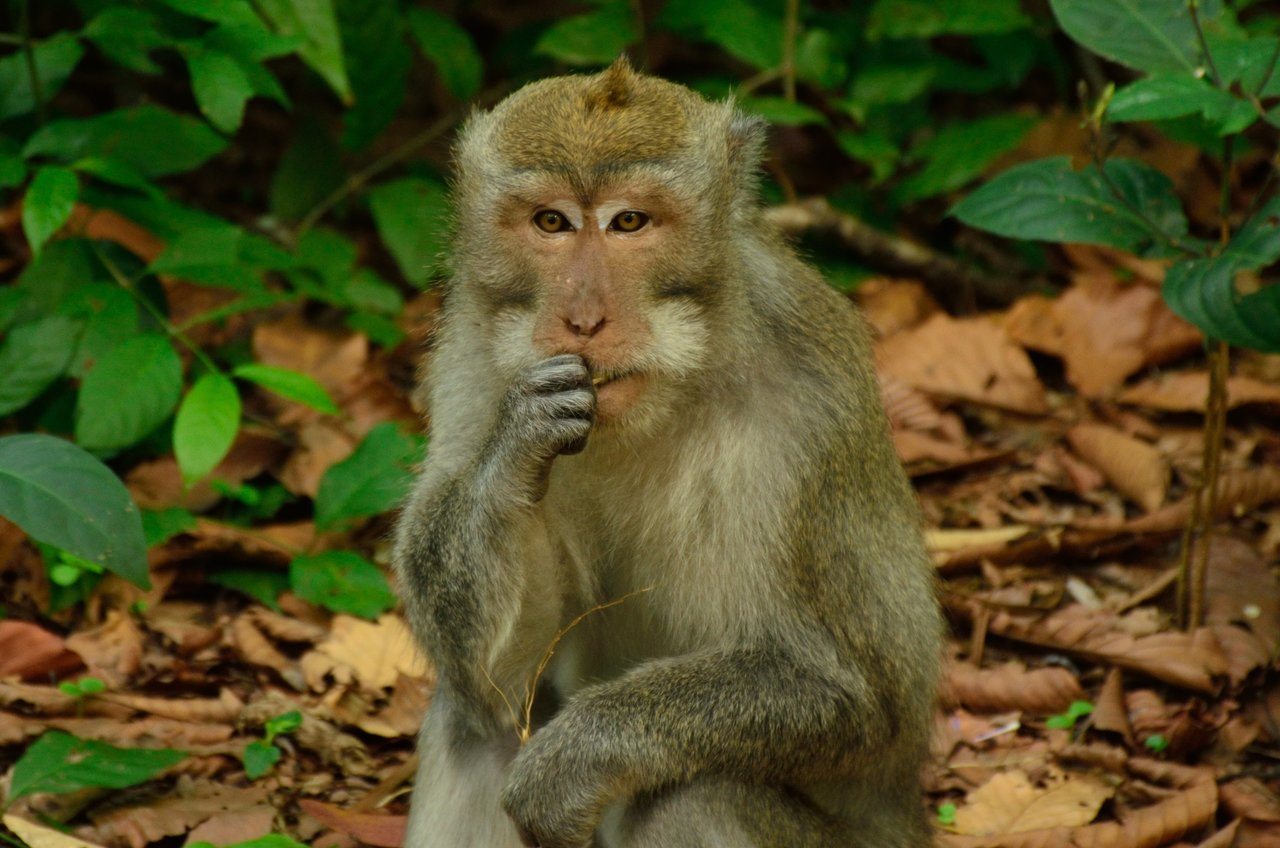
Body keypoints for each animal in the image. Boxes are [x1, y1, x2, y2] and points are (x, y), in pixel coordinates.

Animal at [389, 56, 942, 845]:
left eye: (629, 222)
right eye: (551, 222)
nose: (583, 318)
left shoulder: (806, 417)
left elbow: (848, 693)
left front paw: (580, 754)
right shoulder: (470, 361)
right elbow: (498, 683)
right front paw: (514, 450)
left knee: (694, 797)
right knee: (473, 724)